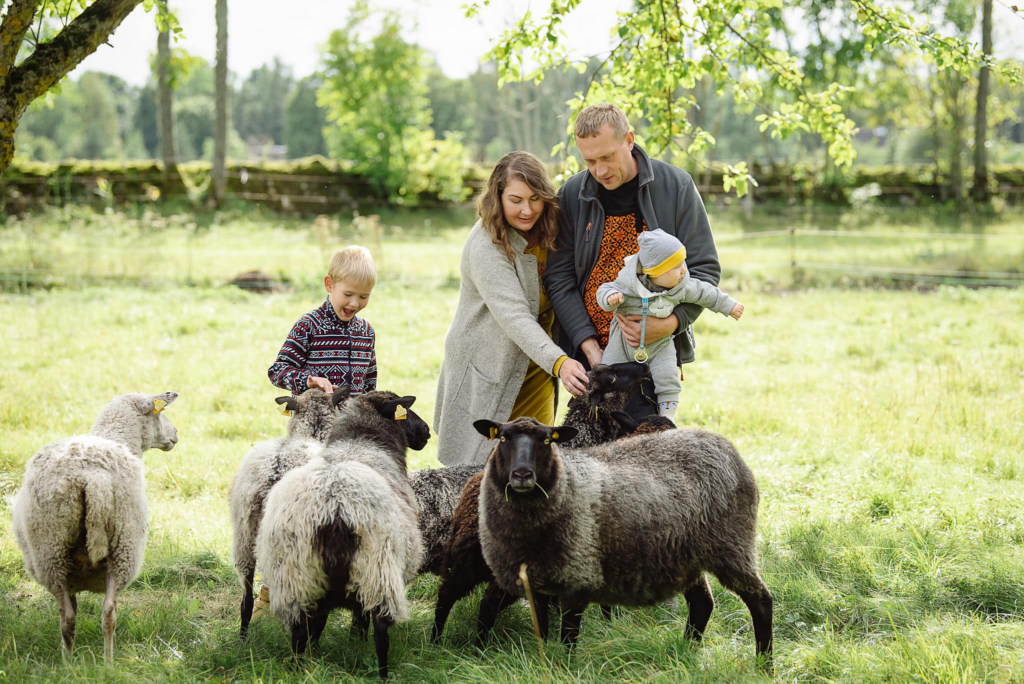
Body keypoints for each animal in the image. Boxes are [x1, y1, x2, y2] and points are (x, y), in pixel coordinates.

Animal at [12, 393, 180, 659]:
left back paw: (71, 663)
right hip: (120, 548)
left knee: (70, 619)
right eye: (160, 414)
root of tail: (92, 478)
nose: (175, 434)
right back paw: (104, 662)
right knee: (105, 614)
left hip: (53, 554)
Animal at [256, 389, 432, 679]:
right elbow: (361, 621)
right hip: (378, 571)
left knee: (300, 631)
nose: (427, 431)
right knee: (381, 633)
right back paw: (383, 674)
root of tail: (334, 505)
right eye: (405, 411)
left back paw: (298, 668)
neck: (359, 441)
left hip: (298, 577)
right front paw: (356, 645)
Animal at [430, 360, 655, 643]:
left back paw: (440, 642)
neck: (584, 441)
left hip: (467, 560)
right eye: (612, 377)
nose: (644, 366)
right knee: (485, 602)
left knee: (448, 594)